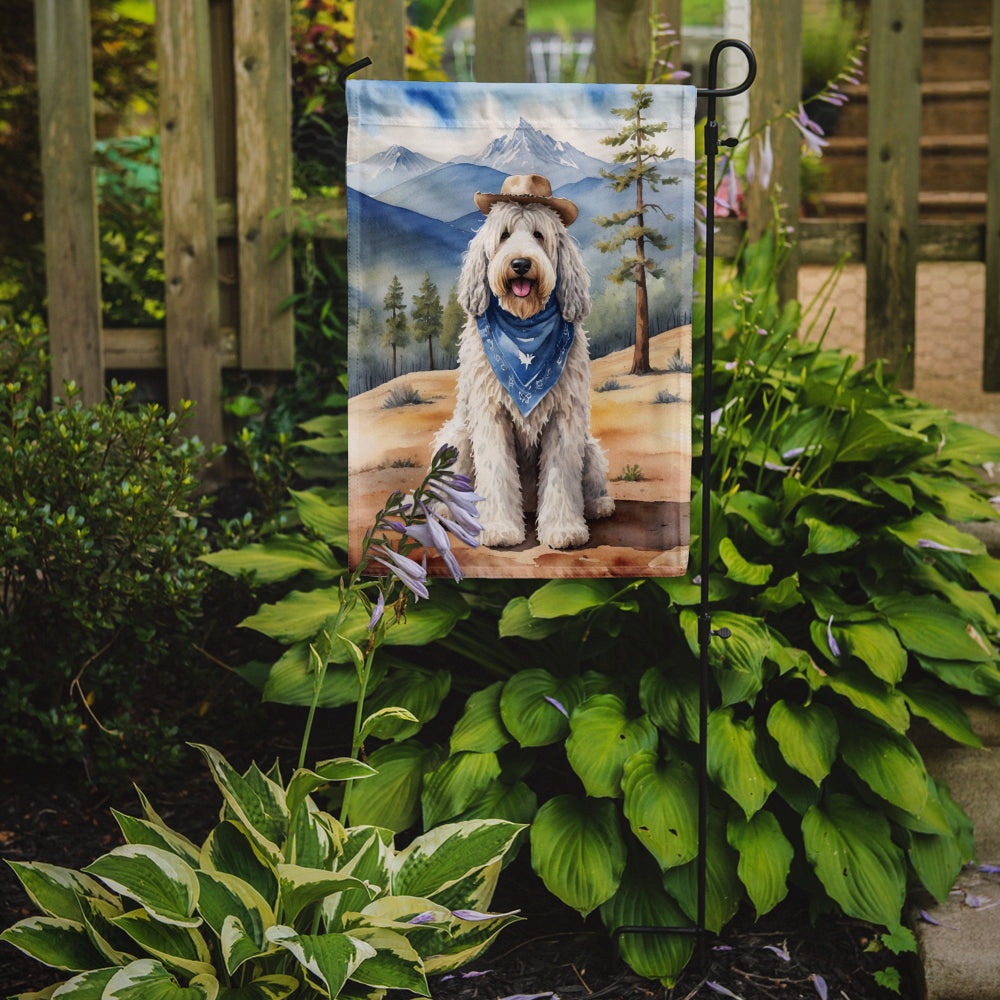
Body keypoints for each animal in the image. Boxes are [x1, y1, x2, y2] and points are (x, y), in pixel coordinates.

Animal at [434, 171, 612, 548]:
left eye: (539, 235)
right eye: (503, 235)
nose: (520, 264)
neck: (524, 328)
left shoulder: (565, 415)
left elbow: (561, 476)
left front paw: (563, 530)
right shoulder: (491, 413)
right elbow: (496, 471)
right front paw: (500, 529)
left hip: (589, 448)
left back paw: (599, 504)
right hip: (456, 439)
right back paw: (448, 510)